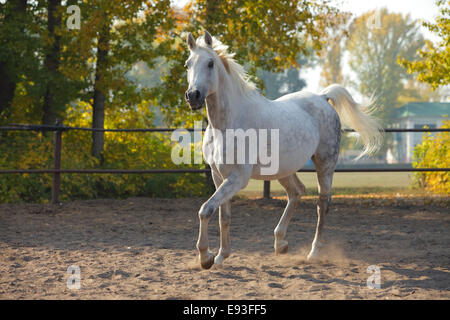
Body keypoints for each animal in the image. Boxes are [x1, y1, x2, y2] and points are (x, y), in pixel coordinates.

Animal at [185, 30, 382, 270]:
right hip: (283, 170)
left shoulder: (237, 178)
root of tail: (322, 97)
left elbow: (206, 210)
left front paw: (206, 256)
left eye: (210, 63)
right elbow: (223, 216)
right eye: (187, 64)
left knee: (322, 203)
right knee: (297, 192)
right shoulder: (218, 175)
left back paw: (314, 252)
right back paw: (281, 243)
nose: (193, 96)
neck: (226, 124)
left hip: (325, 165)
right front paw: (221, 256)